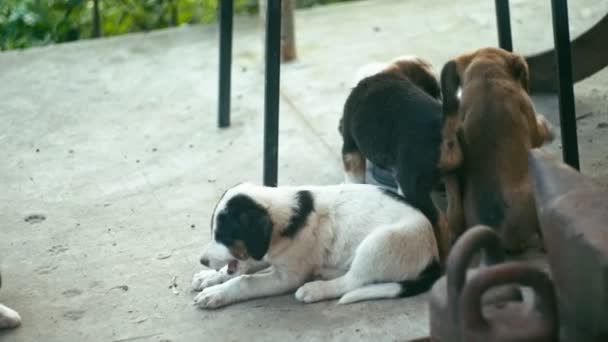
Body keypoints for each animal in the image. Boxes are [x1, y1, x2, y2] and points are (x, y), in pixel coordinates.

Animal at [192, 183, 440, 308]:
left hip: (379, 243)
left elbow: (244, 280)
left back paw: (316, 289)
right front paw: (209, 278)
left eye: (224, 235)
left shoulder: (287, 277)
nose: (202, 261)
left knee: (352, 282)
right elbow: (240, 268)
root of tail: (435, 256)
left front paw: (216, 293)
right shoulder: (264, 252)